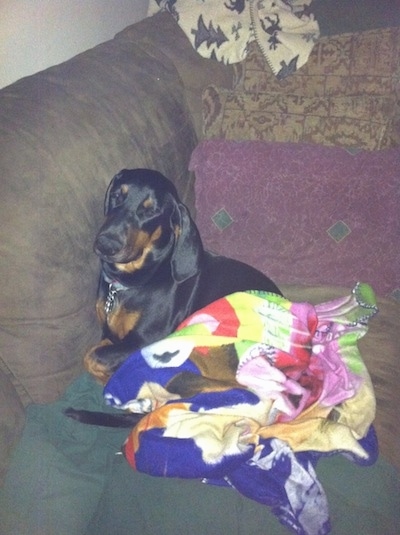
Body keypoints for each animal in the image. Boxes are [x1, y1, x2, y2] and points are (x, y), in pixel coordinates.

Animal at [66, 168, 282, 428]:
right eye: (118, 195)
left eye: (150, 211)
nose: (106, 244)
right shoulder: (110, 334)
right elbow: (98, 351)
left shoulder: (146, 341)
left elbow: (92, 356)